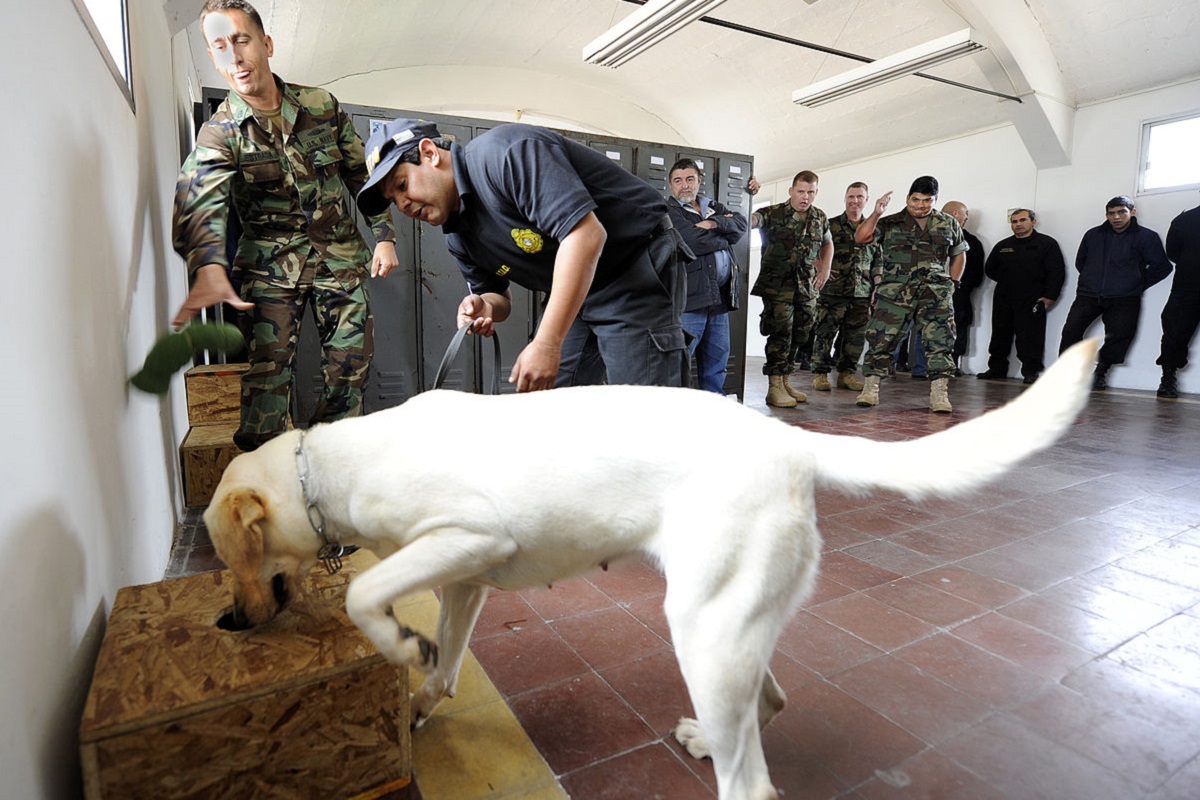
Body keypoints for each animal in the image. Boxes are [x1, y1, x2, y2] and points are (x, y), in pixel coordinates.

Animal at [204, 338, 1099, 800]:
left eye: (220, 554)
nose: (229, 624)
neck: (332, 467)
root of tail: (786, 441)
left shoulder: (466, 537)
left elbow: (364, 589)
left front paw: (393, 642)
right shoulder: (467, 573)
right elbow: (447, 658)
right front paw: (419, 686)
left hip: (701, 629)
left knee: (753, 784)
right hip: (726, 624)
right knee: (767, 702)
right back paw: (705, 735)